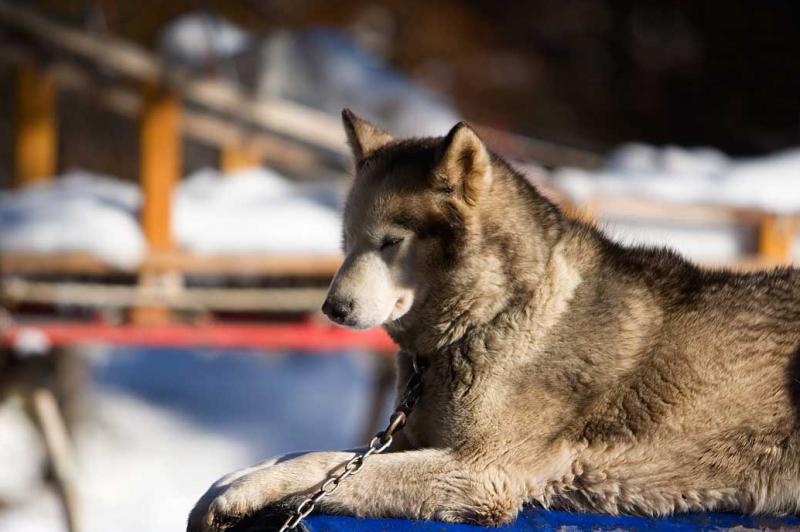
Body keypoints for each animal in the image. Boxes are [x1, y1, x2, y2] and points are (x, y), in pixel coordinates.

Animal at [189, 110, 800, 528]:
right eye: (347, 242)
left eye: (390, 242)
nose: (331, 310)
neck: (492, 317)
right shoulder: (409, 444)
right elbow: (307, 453)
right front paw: (233, 479)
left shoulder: (482, 474)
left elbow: (320, 460)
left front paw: (241, 491)